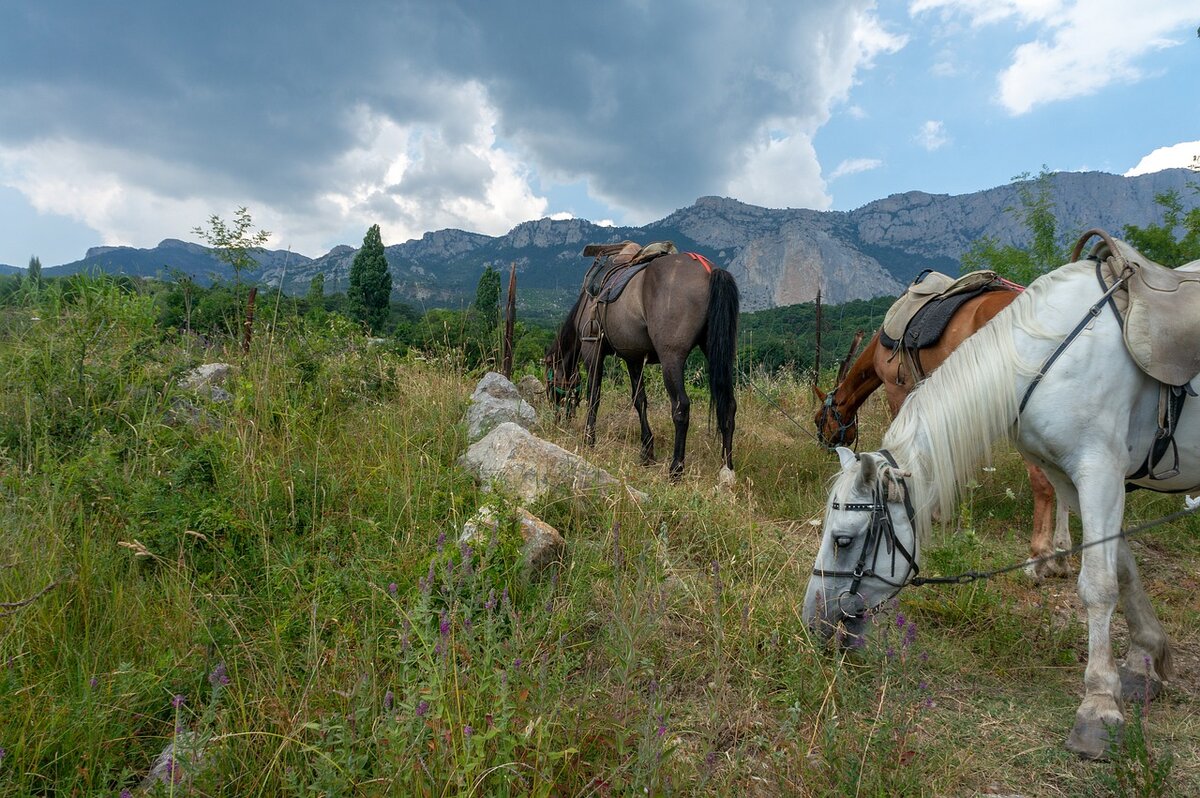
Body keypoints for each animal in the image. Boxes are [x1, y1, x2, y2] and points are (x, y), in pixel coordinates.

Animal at [547, 253, 739, 480]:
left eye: (550, 386)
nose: (557, 420)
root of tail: (709, 270)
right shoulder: (634, 359)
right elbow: (639, 401)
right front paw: (647, 452)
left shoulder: (591, 350)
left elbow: (594, 395)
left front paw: (589, 439)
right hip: (713, 350)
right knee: (728, 406)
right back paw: (727, 467)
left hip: (671, 358)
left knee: (681, 407)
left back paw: (676, 469)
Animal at [811, 286, 1075, 578]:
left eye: (818, 419)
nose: (824, 444)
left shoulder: (899, 391)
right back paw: (1061, 552)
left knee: (1043, 480)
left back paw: (1039, 554)